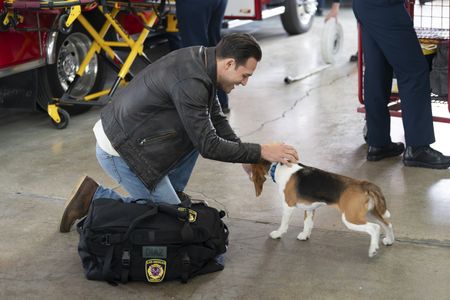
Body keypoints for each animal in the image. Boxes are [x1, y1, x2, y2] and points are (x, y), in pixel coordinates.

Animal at [251, 159, 396, 258]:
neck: (277, 168)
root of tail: (363, 184)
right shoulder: (310, 208)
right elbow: (307, 224)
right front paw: (305, 235)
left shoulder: (288, 206)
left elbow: (283, 224)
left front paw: (277, 234)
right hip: (372, 212)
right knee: (387, 223)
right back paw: (389, 240)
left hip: (350, 218)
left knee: (375, 228)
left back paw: (373, 250)